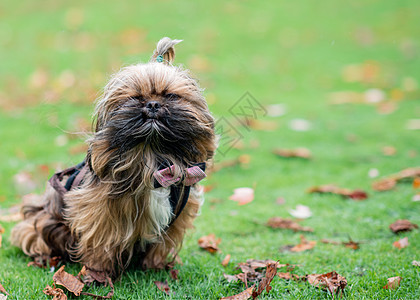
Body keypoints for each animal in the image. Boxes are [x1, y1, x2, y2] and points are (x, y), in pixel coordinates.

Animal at [10, 37, 217, 276]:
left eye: (170, 96)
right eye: (136, 97)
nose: (153, 104)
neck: (152, 157)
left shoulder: (178, 216)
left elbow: (161, 245)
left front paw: (155, 268)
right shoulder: (101, 212)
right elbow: (102, 243)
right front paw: (98, 273)